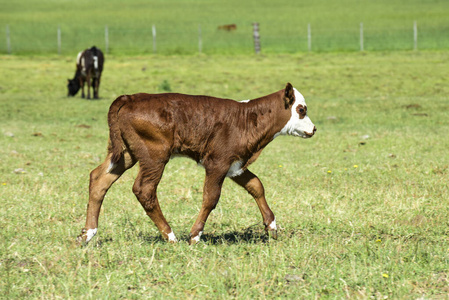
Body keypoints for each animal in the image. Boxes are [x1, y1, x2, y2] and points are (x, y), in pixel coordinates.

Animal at [77, 83, 316, 245]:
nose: (314, 129)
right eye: (301, 109)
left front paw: (271, 227)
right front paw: (194, 236)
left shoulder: (235, 165)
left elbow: (256, 186)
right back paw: (171, 236)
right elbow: (211, 198)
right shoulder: (217, 163)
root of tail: (130, 97)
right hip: (154, 156)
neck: (247, 119)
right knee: (144, 189)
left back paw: (87, 234)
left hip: (124, 153)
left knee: (99, 179)